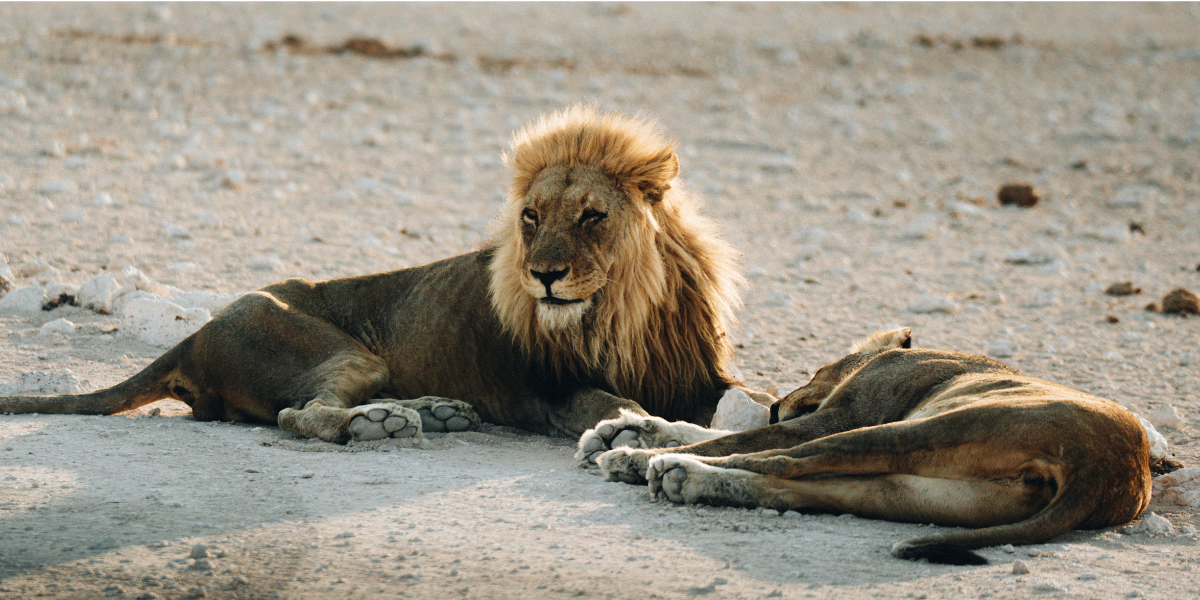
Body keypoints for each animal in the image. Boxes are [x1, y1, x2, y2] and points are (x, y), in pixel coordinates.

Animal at [0, 106, 759, 444]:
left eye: (592, 216)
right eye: (531, 217)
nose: (543, 275)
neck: (623, 310)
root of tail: (195, 334)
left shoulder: (703, 374)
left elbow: (751, 400)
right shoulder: (550, 394)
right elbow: (608, 401)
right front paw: (638, 427)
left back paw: (437, 410)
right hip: (331, 344)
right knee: (300, 414)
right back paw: (386, 422)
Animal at [586, 329, 1170, 565]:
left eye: (816, 367)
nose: (779, 404)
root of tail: (1109, 470)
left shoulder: (842, 413)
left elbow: (741, 435)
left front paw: (628, 448)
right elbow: (712, 429)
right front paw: (621, 430)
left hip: (918, 429)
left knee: (776, 460)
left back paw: (661, 467)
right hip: (915, 491)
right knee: (793, 488)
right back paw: (683, 478)